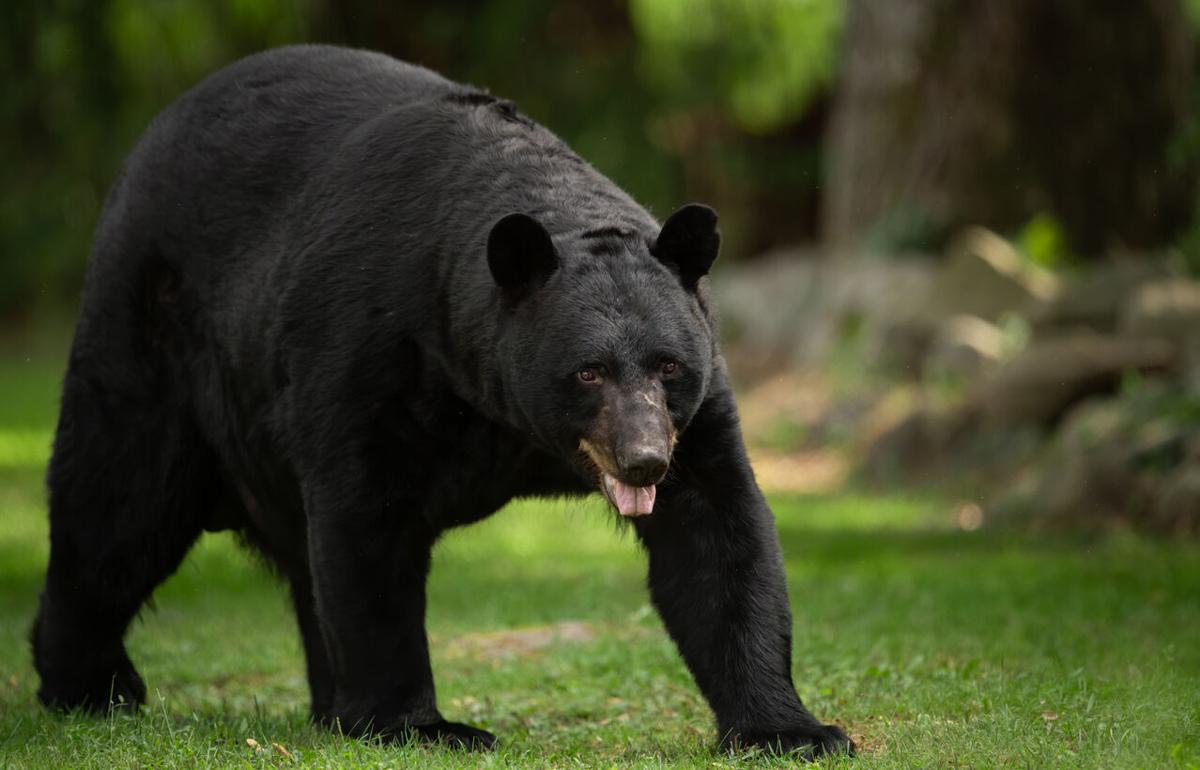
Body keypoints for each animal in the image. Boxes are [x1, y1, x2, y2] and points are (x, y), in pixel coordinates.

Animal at [31, 45, 853, 759]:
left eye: (669, 365)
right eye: (587, 372)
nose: (645, 460)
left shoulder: (702, 410)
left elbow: (718, 534)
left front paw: (793, 730)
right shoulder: (371, 356)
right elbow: (367, 527)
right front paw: (422, 724)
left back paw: (327, 705)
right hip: (154, 340)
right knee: (118, 504)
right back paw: (92, 684)